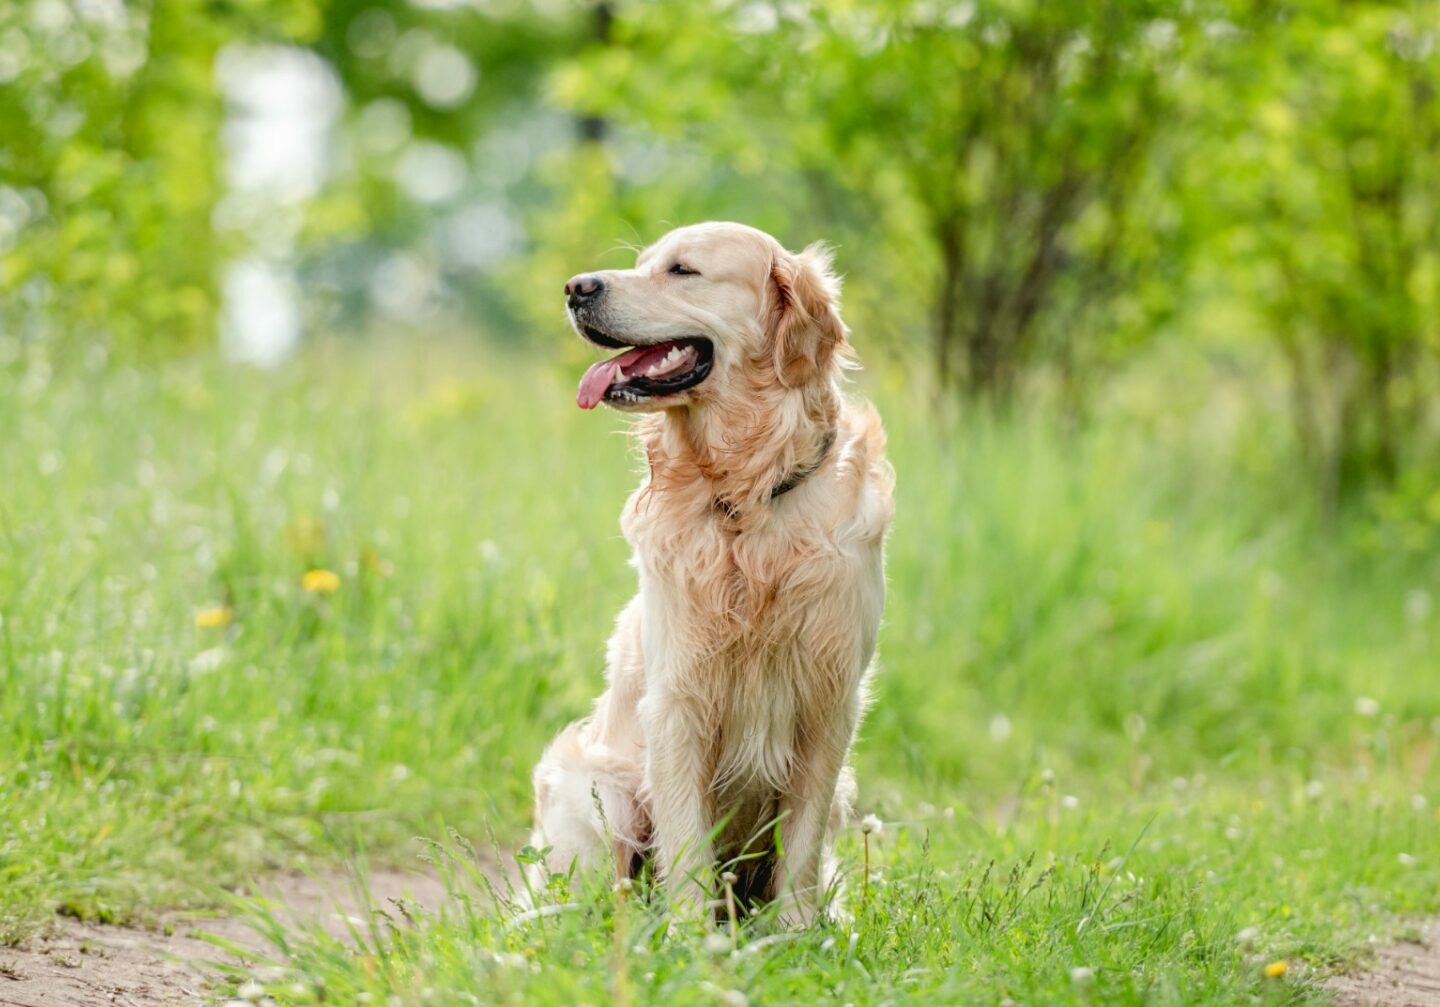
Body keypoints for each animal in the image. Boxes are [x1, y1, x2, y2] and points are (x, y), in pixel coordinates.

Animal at [529, 221, 887, 927]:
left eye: (683, 271)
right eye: (643, 263)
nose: (576, 288)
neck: (746, 500)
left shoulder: (829, 701)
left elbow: (800, 847)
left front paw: (797, 935)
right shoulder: (678, 699)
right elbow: (687, 843)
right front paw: (694, 939)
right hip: (598, 789)